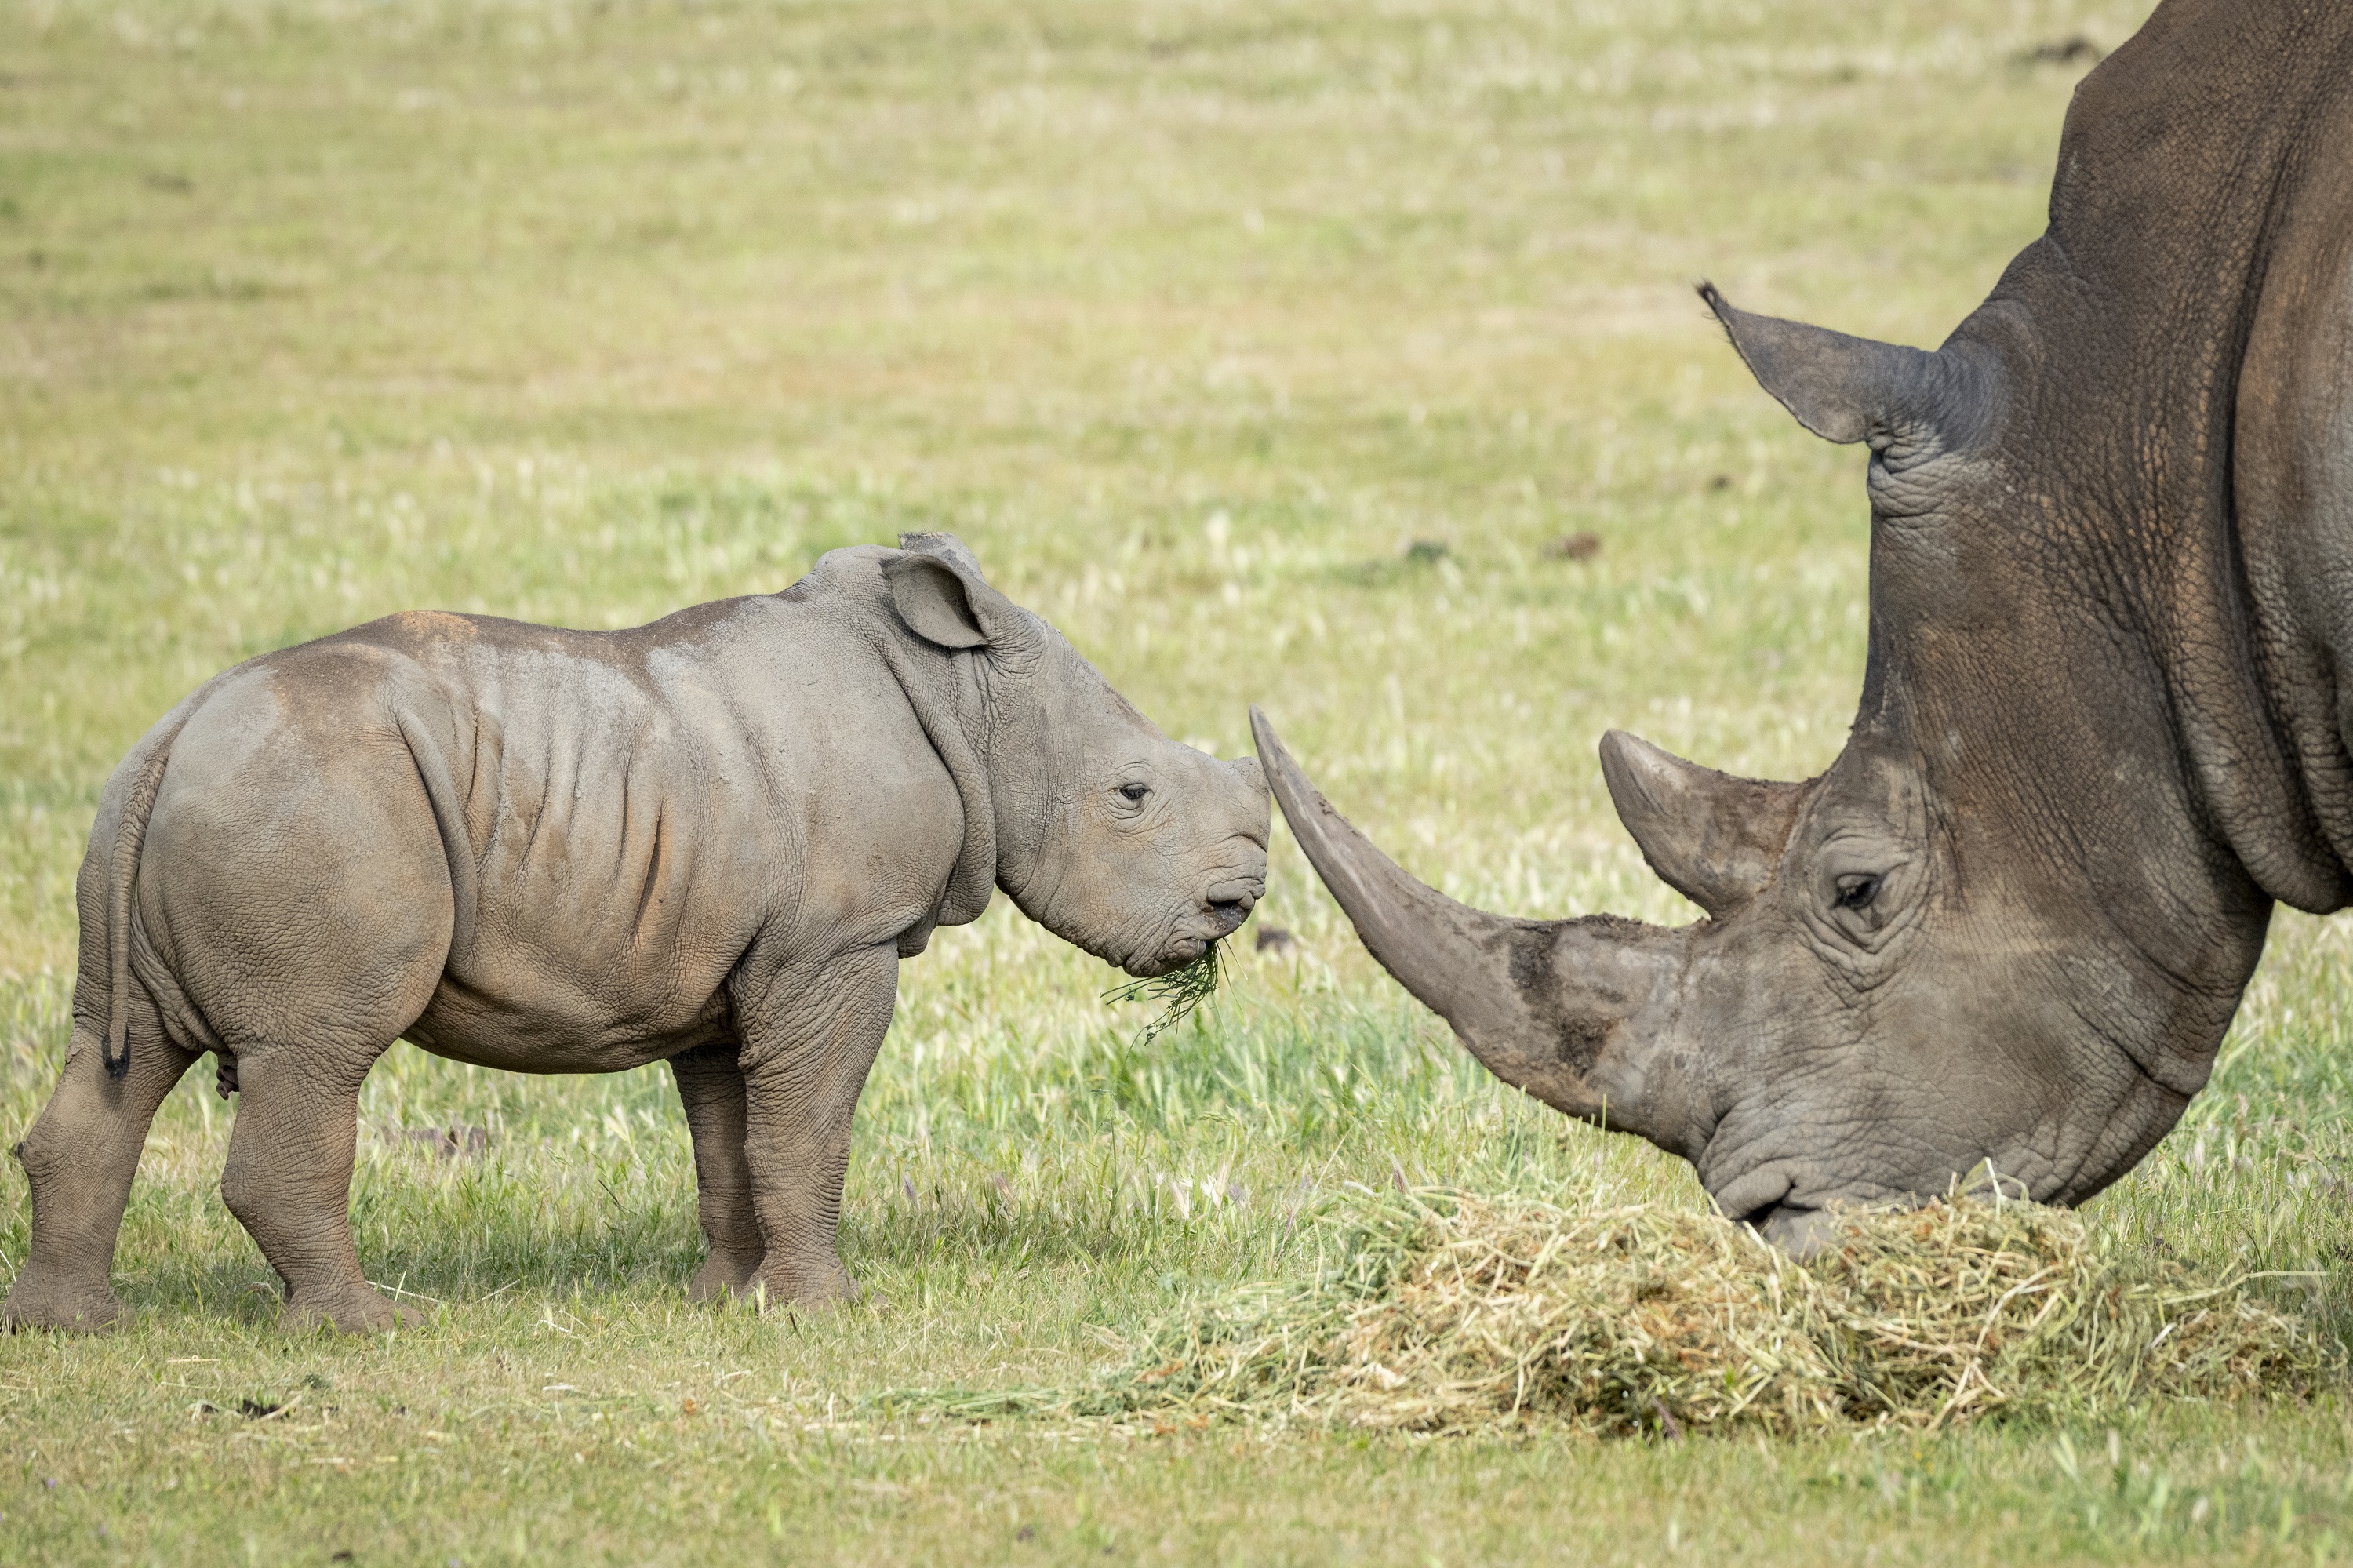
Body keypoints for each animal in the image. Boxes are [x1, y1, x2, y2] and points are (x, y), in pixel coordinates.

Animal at [0, 532, 1271, 1327]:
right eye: (1132, 795)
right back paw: (368, 1328)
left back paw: (76, 1328)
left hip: (168, 813)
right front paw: (827, 1311)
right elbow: (806, 1129)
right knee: (317, 1051)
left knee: (125, 1053)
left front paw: (729, 1300)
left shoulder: (728, 961)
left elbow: (732, 1139)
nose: (1237, 903)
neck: (961, 693)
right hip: (313, 804)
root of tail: (173, 731)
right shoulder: (837, 946)